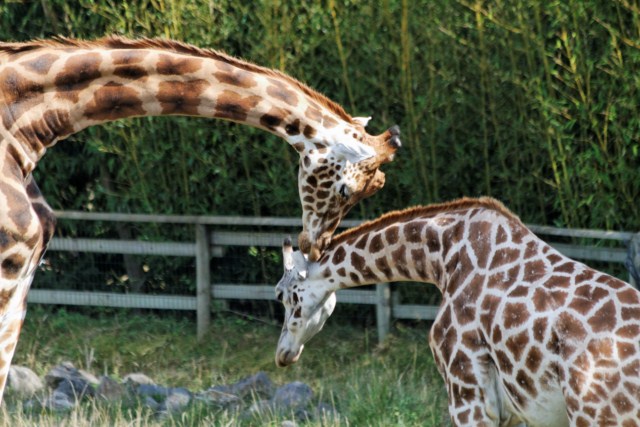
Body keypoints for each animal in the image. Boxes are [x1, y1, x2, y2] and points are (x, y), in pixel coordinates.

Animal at [276, 198, 640, 427]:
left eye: (282, 295)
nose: (282, 355)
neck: (442, 257)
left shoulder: (466, 394)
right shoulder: (509, 412)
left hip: (599, 416)